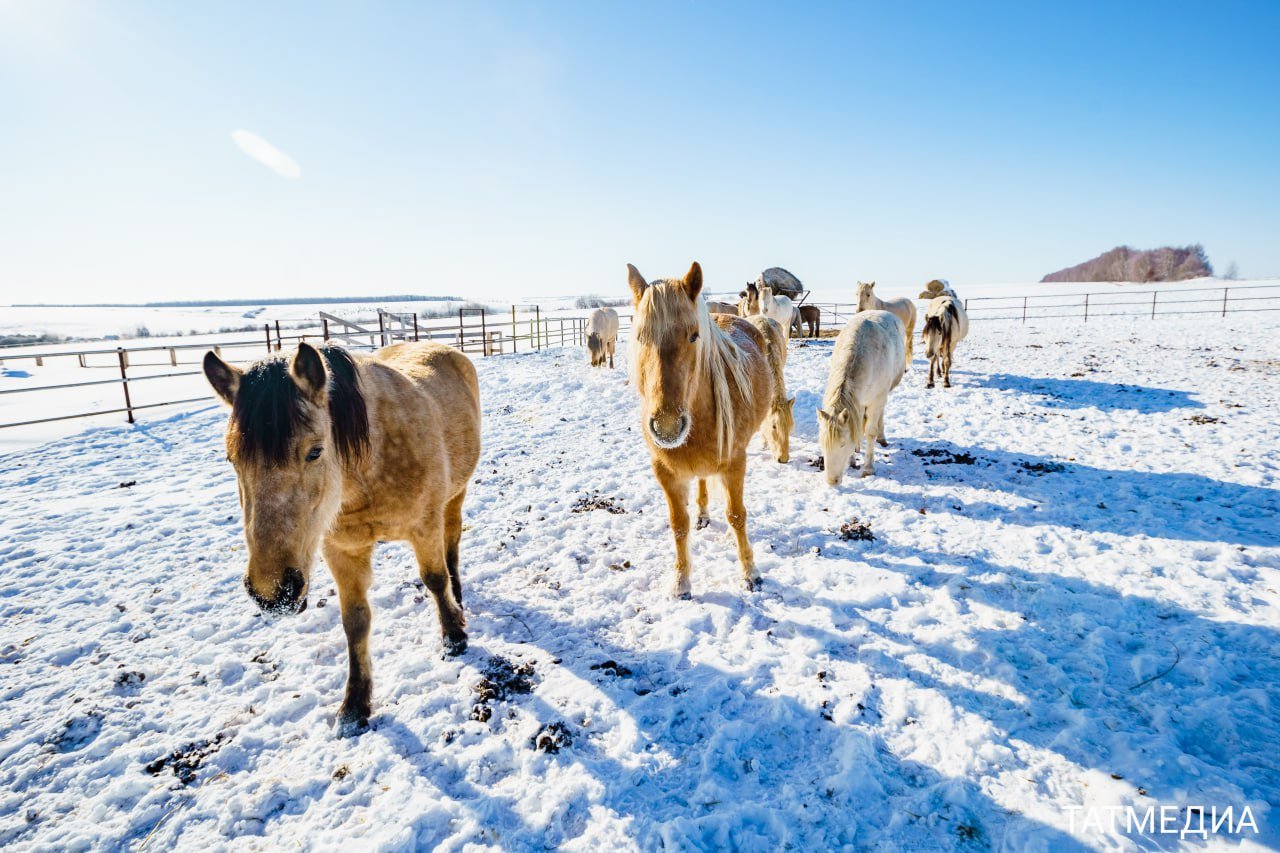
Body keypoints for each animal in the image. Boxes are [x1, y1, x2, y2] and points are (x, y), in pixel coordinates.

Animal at [199, 338, 481, 732]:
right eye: (231, 460)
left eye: (314, 452)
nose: (272, 593)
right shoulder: (340, 550)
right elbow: (355, 622)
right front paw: (354, 705)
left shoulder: (425, 525)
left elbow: (434, 579)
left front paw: (453, 636)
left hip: (456, 495)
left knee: (451, 543)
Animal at [627, 262, 768, 594]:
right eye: (639, 337)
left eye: (694, 336)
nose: (666, 427)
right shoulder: (666, 474)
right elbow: (679, 525)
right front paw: (681, 582)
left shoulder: (735, 464)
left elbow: (737, 515)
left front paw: (750, 573)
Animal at [814, 311, 906, 484]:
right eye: (822, 443)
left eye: (842, 444)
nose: (832, 482)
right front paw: (852, 460)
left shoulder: (876, 400)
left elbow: (870, 432)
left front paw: (868, 469)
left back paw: (881, 438)